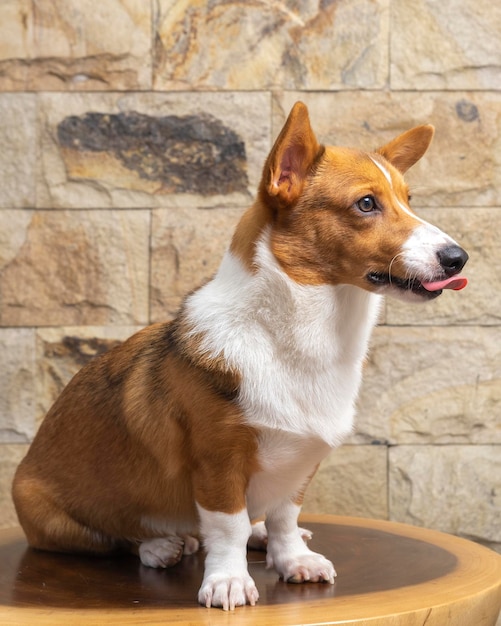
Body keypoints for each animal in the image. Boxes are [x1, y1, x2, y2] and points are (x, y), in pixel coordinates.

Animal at [11, 102, 466, 608]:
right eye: (366, 203)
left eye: (409, 199)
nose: (458, 258)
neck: (302, 334)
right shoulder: (219, 461)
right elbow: (226, 527)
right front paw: (227, 581)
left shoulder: (299, 464)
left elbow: (286, 515)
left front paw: (291, 559)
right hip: (46, 512)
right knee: (116, 537)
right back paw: (161, 545)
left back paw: (254, 534)